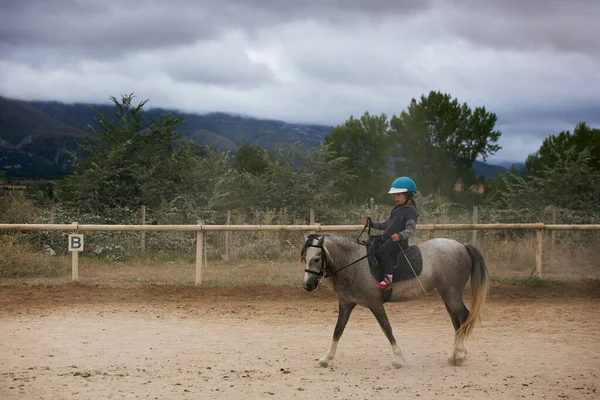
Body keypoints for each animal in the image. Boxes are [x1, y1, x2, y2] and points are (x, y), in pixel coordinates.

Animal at [302, 234, 490, 368]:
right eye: (305, 258)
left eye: (316, 258)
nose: (307, 285)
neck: (351, 262)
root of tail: (463, 246)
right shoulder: (346, 304)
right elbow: (338, 330)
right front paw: (326, 359)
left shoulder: (375, 304)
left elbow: (387, 328)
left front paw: (398, 359)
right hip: (448, 296)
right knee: (457, 321)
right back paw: (455, 356)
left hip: (451, 294)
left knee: (464, 316)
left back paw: (459, 355)